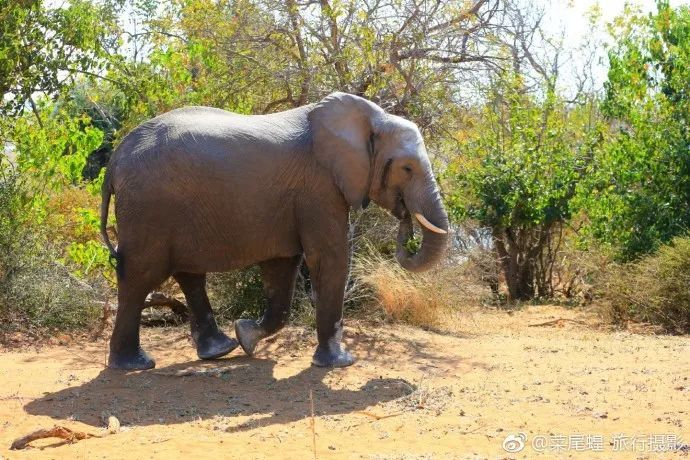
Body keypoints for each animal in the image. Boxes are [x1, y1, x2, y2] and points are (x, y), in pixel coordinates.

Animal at [99, 92, 448, 370]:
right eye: (407, 168)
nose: (405, 221)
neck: (371, 117)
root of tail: (114, 161)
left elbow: (282, 267)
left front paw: (247, 336)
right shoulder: (319, 187)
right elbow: (328, 257)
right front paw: (339, 363)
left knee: (187, 273)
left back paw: (220, 349)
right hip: (148, 210)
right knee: (140, 276)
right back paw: (134, 365)